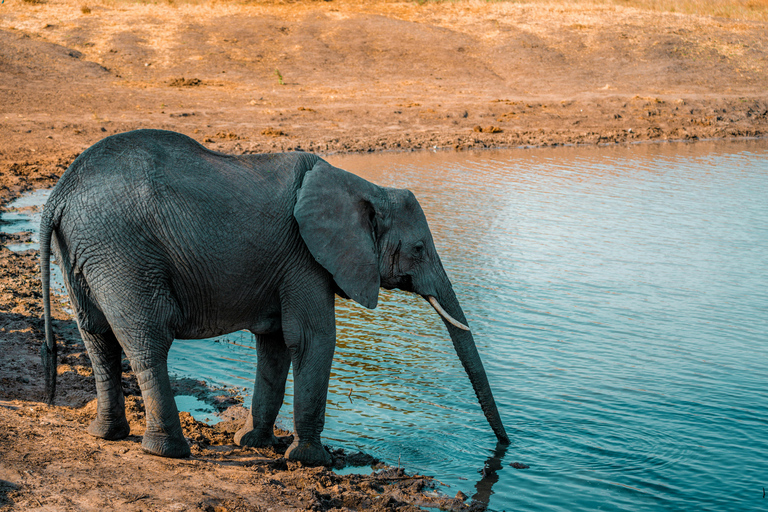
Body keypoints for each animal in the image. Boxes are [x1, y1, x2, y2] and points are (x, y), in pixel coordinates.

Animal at [40, 128, 510, 464]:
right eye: (418, 249)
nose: (505, 448)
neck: (365, 187)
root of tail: (59, 194)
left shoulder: (287, 264)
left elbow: (277, 344)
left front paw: (253, 443)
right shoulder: (305, 257)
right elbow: (314, 339)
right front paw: (312, 461)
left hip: (86, 251)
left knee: (98, 338)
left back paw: (107, 435)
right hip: (123, 252)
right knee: (147, 341)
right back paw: (169, 452)